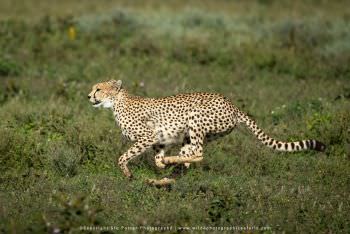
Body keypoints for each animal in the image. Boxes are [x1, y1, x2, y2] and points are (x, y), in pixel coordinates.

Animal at [87, 79, 326, 186]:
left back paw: (169, 166)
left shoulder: (147, 136)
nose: (89, 96)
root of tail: (232, 105)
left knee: (199, 155)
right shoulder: (158, 141)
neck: (117, 102)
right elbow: (156, 158)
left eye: (98, 88)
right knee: (186, 161)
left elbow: (123, 157)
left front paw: (127, 173)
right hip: (189, 136)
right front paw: (161, 165)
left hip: (195, 119)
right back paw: (163, 178)